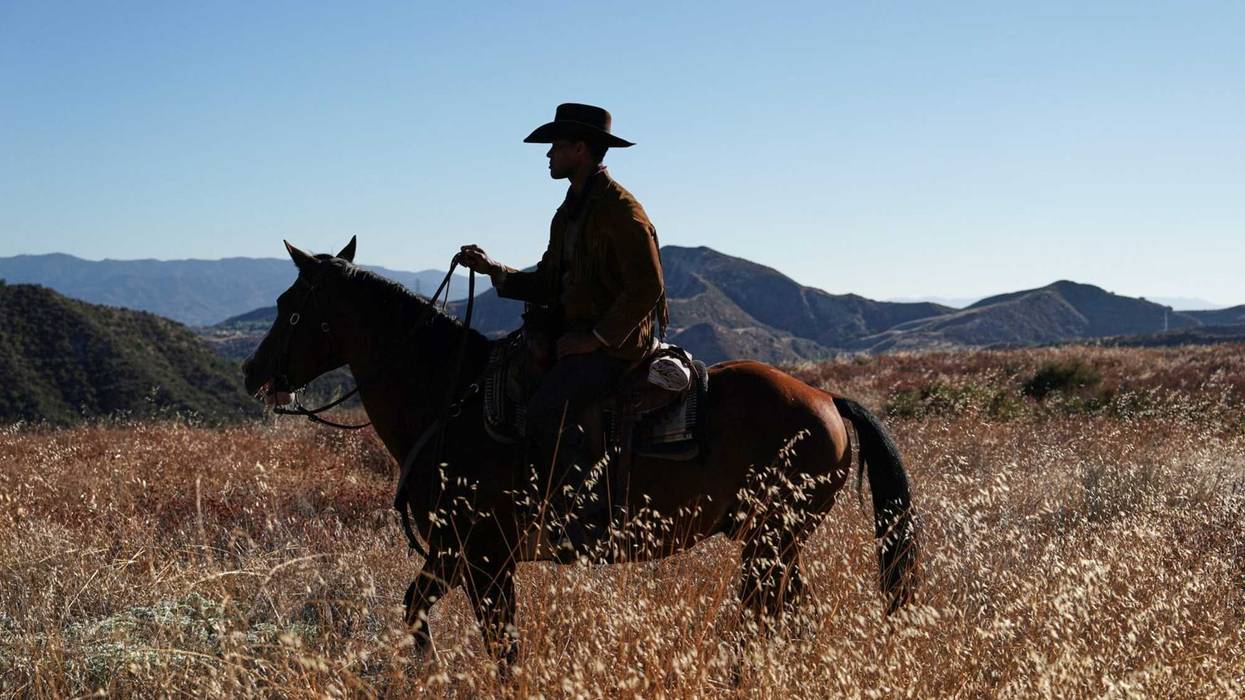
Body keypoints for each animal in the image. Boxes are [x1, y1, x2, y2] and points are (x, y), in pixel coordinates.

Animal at [241, 237, 919, 667]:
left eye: (289, 306)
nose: (252, 372)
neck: (449, 396)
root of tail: (828, 400)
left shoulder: (487, 556)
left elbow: (503, 646)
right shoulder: (453, 553)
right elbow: (417, 610)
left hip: (771, 540)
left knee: (766, 620)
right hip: (773, 542)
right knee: (787, 619)